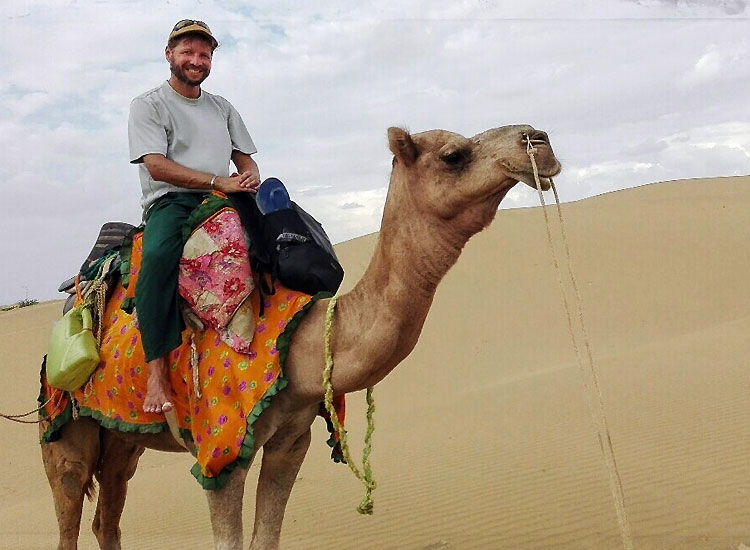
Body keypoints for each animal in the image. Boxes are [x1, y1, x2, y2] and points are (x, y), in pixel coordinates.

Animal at [39, 125, 560, 550]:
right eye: (454, 154)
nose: (538, 140)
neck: (299, 347)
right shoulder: (220, 453)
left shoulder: (292, 440)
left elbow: (267, 537)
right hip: (62, 428)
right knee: (69, 514)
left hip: (122, 439)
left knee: (107, 518)